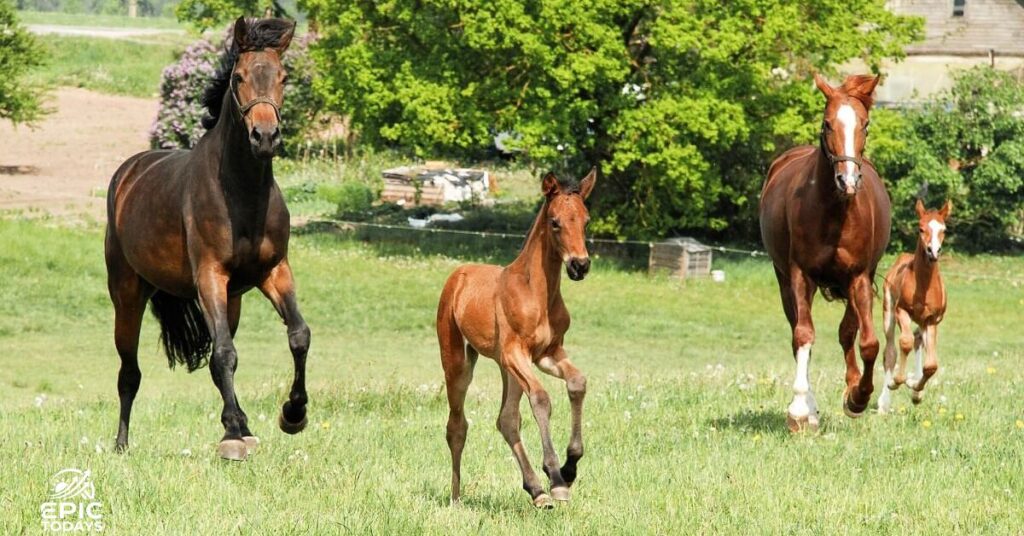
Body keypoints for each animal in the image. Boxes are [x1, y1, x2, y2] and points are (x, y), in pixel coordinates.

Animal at [104, 17, 309, 461]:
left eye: (283, 77)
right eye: (238, 77)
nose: (265, 136)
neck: (241, 194)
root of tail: (129, 173)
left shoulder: (274, 273)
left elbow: (298, 336)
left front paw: (293, 414)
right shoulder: (210, 277)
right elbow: (224, 354)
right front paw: (231, 436)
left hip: (232, 300)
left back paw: (246, 425)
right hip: (127, 295)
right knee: (129, 372)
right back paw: (122, 444)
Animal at [436, 169, 596, 508]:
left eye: (586, 221)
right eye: (555, 222)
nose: (580, 265)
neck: (537, 292)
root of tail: (458, 275)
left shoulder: (547, 353)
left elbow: (577, 383)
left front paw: (569, 469)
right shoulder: (516, 353)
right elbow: (542, 399)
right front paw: (556, 478)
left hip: (506, 368)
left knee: (507, 420)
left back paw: (536, 490)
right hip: (458, 362)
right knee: (457, 425)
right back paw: (456, 498)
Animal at [759, 74, 891, 432]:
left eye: (865, 124)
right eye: (827, 123)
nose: (848, 180)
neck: (834, 210)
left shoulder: (859, 277)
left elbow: (867, 342)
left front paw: (858, 397)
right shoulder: (799, 275)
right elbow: (804, 336)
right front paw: (800, 410)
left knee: (849, 332)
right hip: (783, 281)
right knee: (798, 333)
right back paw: (810, 408)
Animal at [877, 200, 951, 413]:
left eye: (944, 229)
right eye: (921, 228)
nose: (933, 252)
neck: (924, 285)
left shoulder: (932, 320)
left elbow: (931, 365)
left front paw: (915, 388)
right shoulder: (901, 311)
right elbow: (905, 343)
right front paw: (897, 381)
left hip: (921, 321)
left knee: (919, 340)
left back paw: (916, 390)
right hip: (888, 312)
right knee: (890, 352)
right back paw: (884, 402)